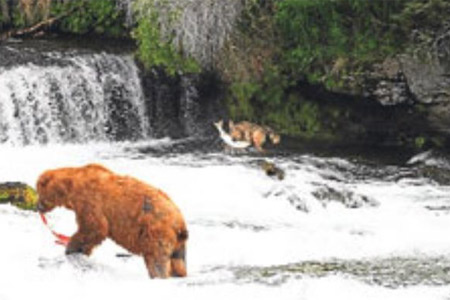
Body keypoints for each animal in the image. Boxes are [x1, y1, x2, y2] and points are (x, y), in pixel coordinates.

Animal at [36, 164, 188, 278]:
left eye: (39, 192)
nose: (37, 206)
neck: (71, 188)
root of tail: (180, 222)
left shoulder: (89, 200)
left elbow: (94, 228)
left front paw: (72, 248)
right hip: (177, 243)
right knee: (178, 262)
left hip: (154, 230)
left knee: (156, 259)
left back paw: (158, 275)